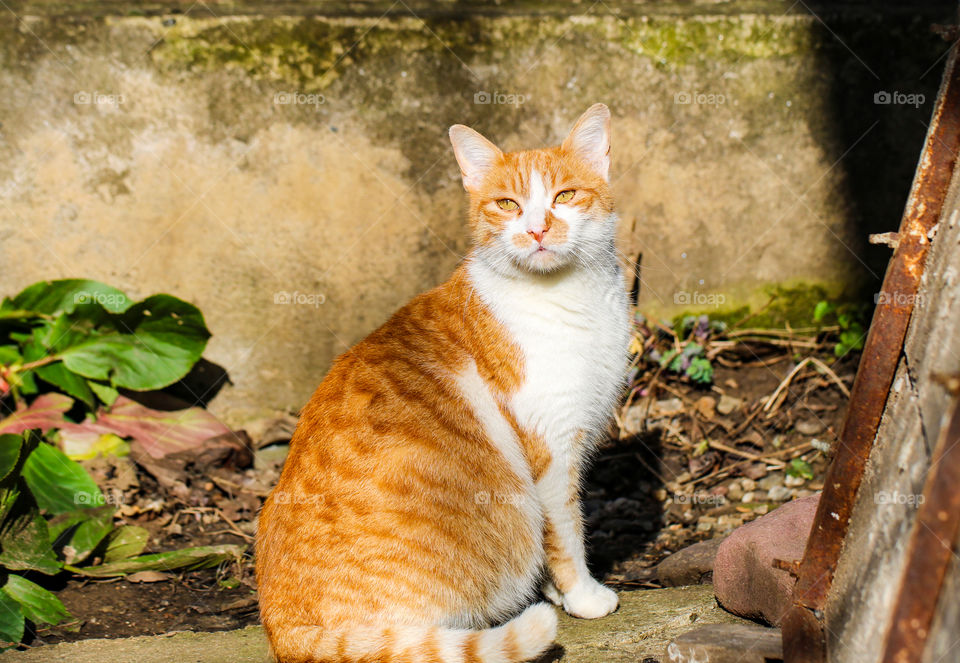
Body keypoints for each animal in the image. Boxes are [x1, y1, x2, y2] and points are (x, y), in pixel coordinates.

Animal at [255, 104, 632, 663]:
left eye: (564, 196)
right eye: (507, 204)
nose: (538, 230)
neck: (569, 297)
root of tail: (282, 629)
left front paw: (554, 592)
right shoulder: (551, 448)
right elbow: (565, 534)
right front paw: (582, 595)